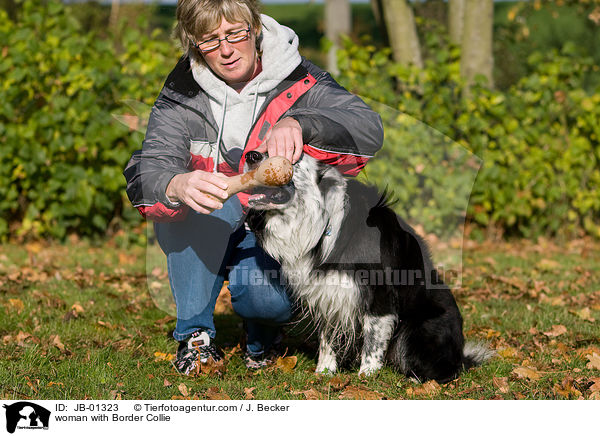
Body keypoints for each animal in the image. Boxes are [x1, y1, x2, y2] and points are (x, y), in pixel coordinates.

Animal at [245, 151, 492, 382]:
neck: (323, 223)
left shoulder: (378, 295)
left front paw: (367, 377)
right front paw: (324, 372)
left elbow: (373, 341)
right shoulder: (329, 294)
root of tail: (460, 355)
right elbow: (328, 338)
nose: (250, 155)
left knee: (445, 370)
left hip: (420, 329)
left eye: (289, 159)